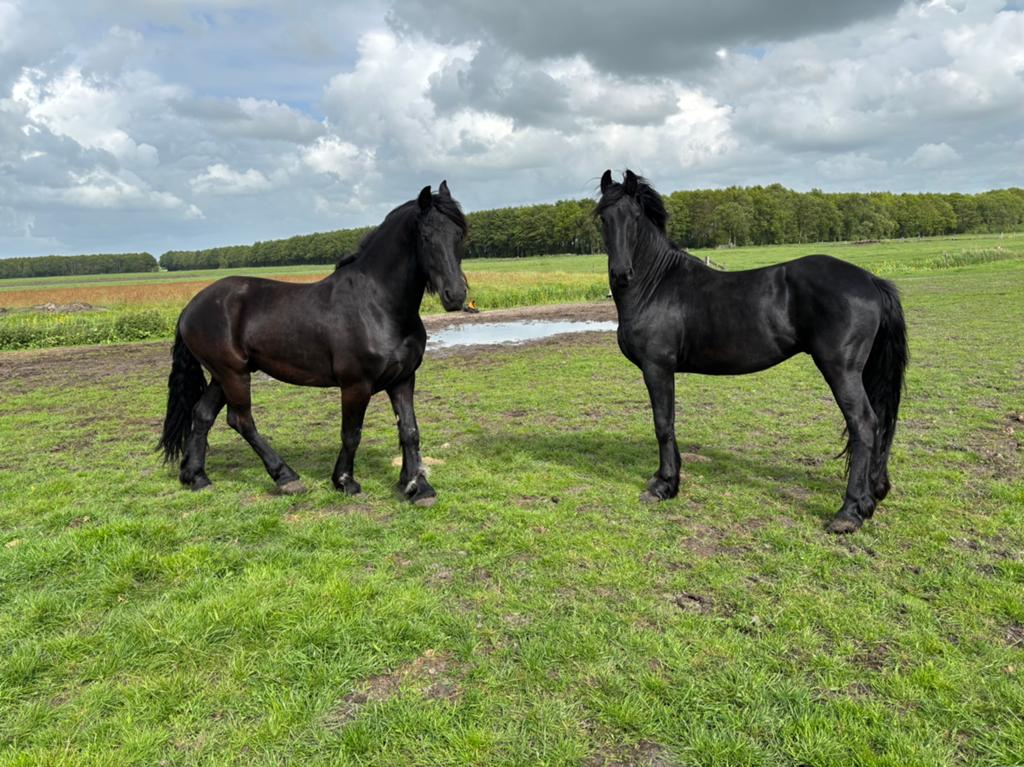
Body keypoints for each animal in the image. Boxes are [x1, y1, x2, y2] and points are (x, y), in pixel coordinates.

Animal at [158, 181, 468, 505]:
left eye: (459, 234)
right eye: (426, 236)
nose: (456, 295)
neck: (378, 304)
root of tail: (192, 306)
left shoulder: (403, 379)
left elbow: (409, 430)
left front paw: (417, 487)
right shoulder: (356, 384)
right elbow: (351, 433)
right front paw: (344, 481)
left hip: (223, 375)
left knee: (202, 415)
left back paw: (196, 477)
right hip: (233, 374)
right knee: (241, 420)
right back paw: (286, 477)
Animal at [596, 170, 908, 533]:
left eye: (634, 217)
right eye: (603, 217)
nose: (621, 274)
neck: (657, 286)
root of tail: (871, 280)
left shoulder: (656, 367)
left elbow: (663, 424)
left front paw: (663, 485)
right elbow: (669, 424)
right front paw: (669, 480)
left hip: (841, 370)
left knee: (864, 424)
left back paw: (848, 513)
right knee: (881, 423)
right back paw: (873, 494)